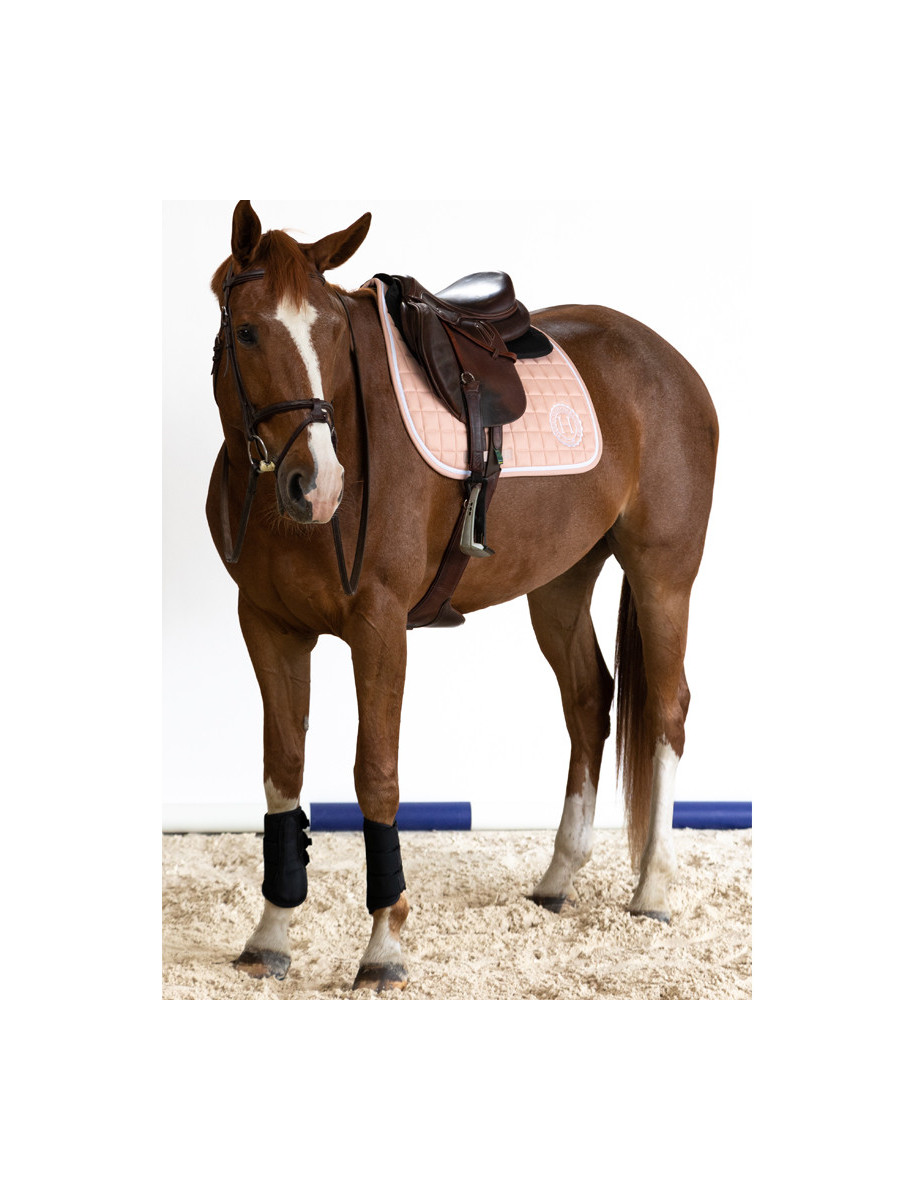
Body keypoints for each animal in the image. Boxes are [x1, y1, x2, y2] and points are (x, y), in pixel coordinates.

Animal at [206, 200, 718, 992]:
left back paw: (654, 888)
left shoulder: (379, 627)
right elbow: (282, 773)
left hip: (664, 575)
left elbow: (376, 776)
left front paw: (384, 945)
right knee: (588, 699)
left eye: (333, 333)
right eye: (249, 331)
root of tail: (670, 361)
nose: (316, 485)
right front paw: (270, 934)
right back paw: (557, 878)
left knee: (666, 710)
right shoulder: (267, 626)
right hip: (559, 583)